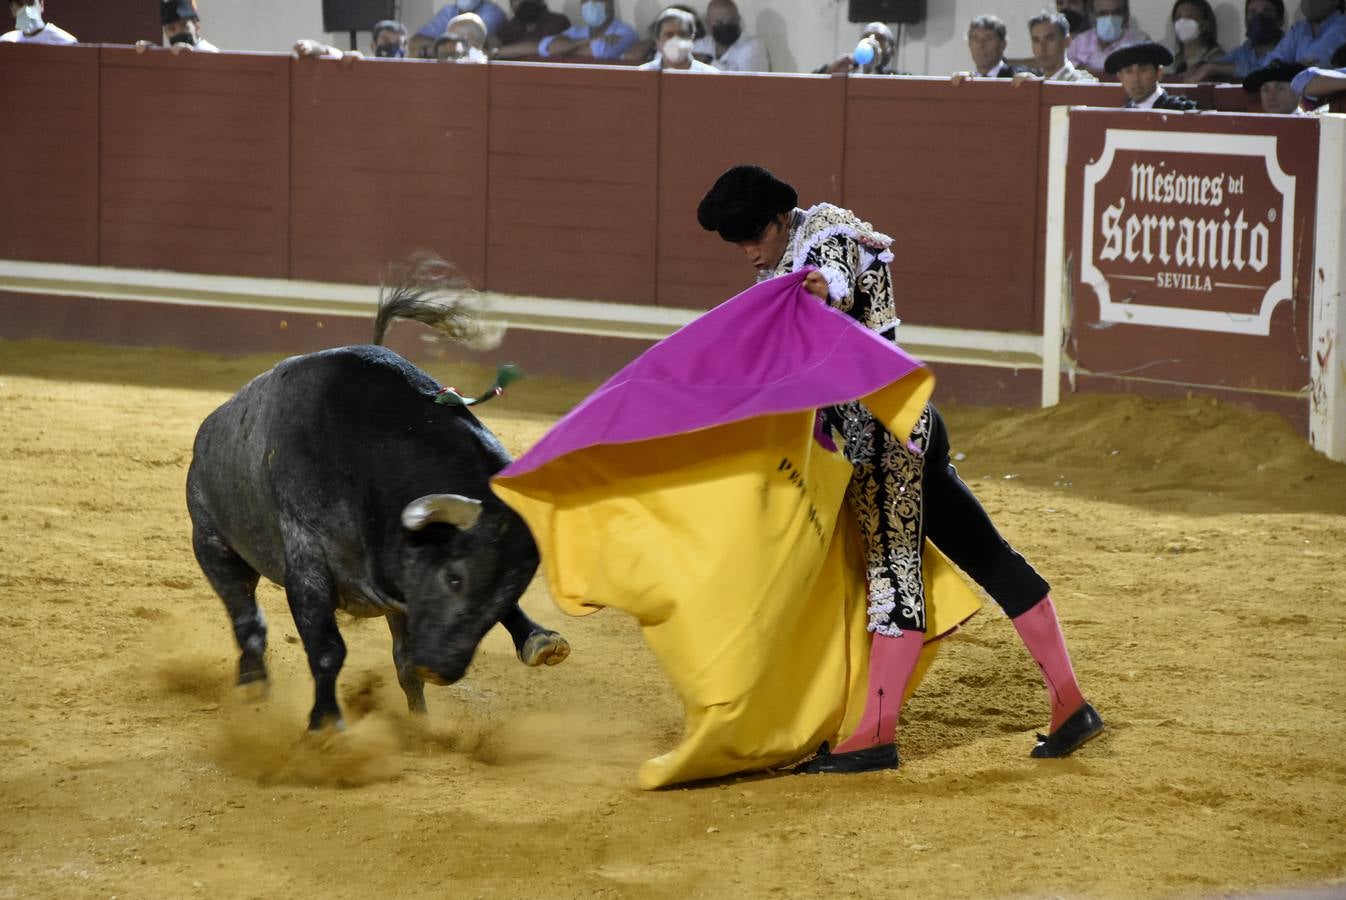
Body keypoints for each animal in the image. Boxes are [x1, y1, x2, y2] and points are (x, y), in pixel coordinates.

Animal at [185, 283, 568, 726]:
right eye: (454, 578)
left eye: (513, 588)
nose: (440, 668)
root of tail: (207, 433)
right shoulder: (308, 559)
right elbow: (327, 648)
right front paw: (326, 722)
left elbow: (404, 663)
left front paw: (540, 640)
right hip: (212, 544)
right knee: (246, 615)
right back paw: (252, 684)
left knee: (400, 662)